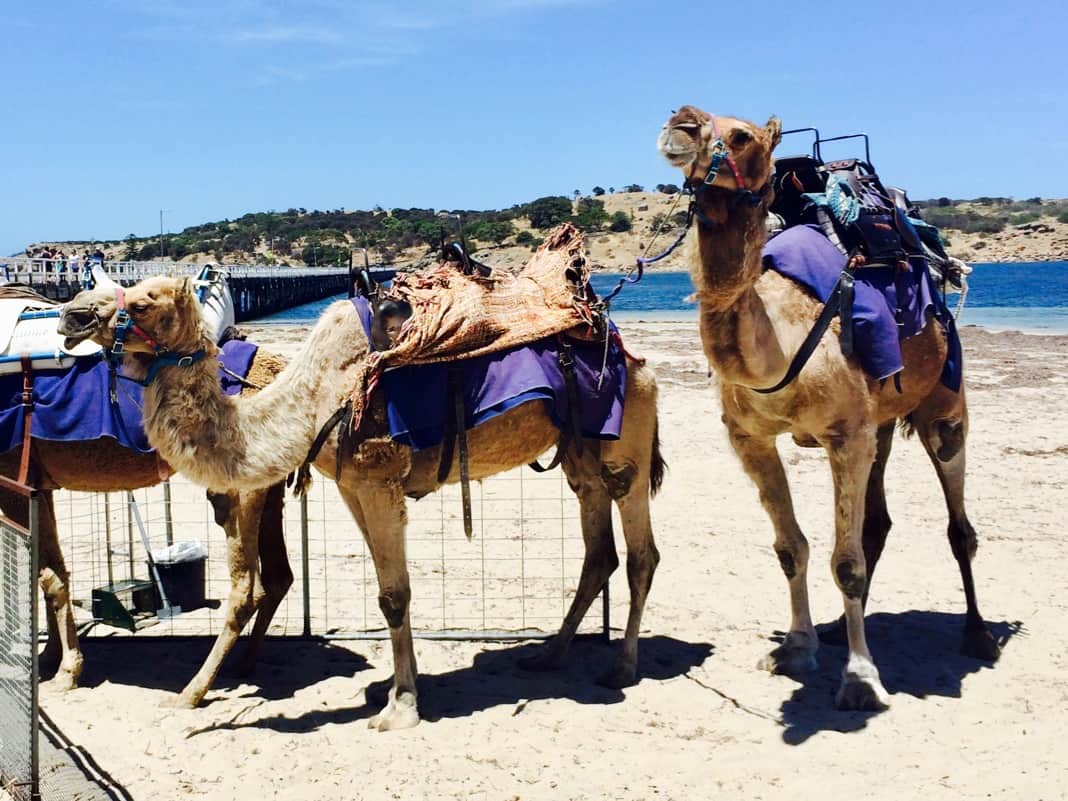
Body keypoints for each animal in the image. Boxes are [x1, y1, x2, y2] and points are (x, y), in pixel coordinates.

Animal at [1, 292, 292, 704]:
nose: (75, 317)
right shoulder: (36, 484)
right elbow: (49, 571)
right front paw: (49, 658)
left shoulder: (11, 476)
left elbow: (47, 577)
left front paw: (65, 671)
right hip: (269, 483)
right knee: (280, 576)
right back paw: (243, 664)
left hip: (242, 488)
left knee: (247, 589)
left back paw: (194, 690)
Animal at [58, 271, 662, 734]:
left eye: (142, 300)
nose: (72, 316)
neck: (312, 397)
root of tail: (635, 357)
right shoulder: (351, 485)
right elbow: (387, 594)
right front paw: (398, 689)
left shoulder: (378, 479)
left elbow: (395, 596)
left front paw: (401, 708)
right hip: (580, 453)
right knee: (598, 552)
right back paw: (548, 655)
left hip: (625, 443)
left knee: (640, 555)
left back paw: (623, 667)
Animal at [653, 105, 995, 709]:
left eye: (740, 135)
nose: (682, 123)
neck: (783, 344)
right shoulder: (751, 438)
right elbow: (792, 547)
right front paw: (796, 648)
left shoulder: (845, 435)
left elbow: (846, 562)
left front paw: (859, 679)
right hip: (881, 422)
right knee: (877, 521)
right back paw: (839, 629)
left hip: (944, 403)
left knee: (958, 523)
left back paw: (977, 635)